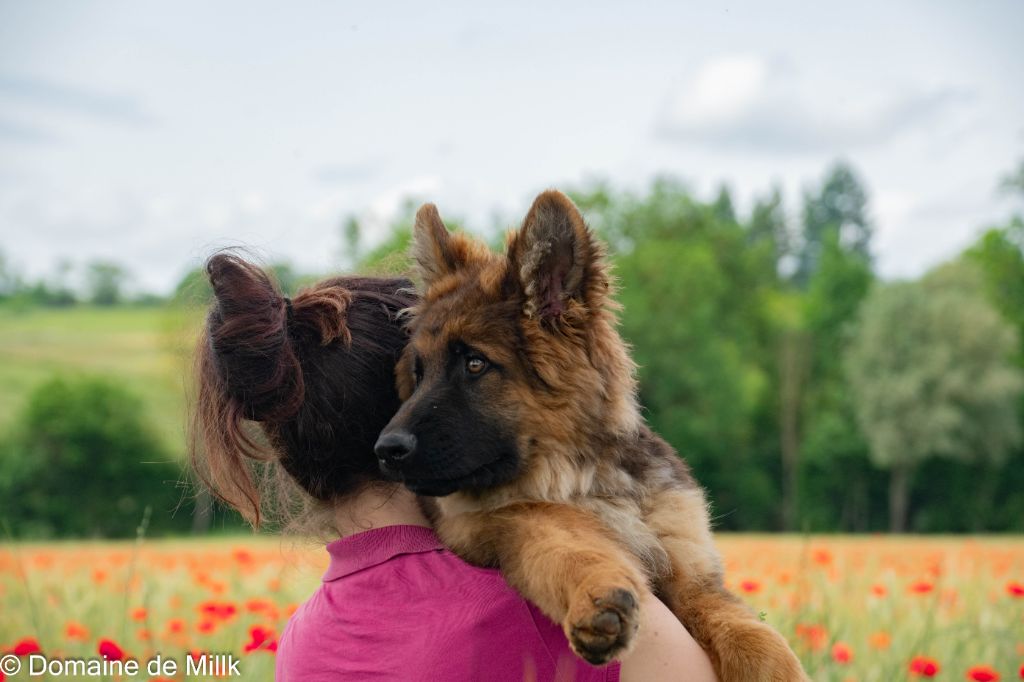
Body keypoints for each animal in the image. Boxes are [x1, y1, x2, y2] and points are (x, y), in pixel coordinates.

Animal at [376, 188, 806, 675]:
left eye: (475, 363)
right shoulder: (485, 525)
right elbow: (549, 525)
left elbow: (751, 633)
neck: (582, 478)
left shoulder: (691, 573)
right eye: (419, 373)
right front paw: (595, 586)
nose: (385, 449)